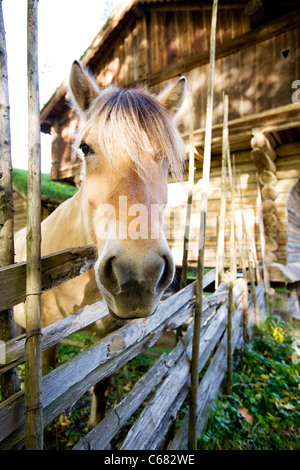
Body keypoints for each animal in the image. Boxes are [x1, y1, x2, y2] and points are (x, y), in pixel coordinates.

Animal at [14, 61, 188, 430]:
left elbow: (101, 385)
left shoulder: (109, 333)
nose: (138, 275)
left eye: (168, 159)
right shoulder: (46, 339)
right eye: (85, 148)